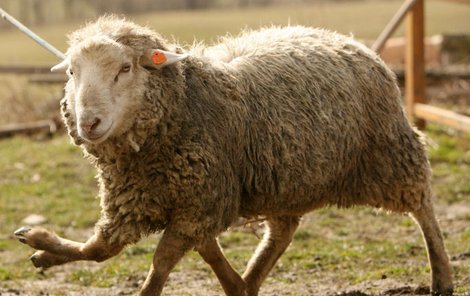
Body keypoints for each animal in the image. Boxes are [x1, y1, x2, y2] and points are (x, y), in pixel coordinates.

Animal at [14, 16, 454, 296]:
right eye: (72, 73)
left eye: (124, 68)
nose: (89, 122)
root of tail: (348, 40)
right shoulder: (149, 200)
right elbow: (101, 249)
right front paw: (42, 247)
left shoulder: (200, 202)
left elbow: (160, 262)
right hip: (284, 181)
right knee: (282, 233)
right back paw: (251, 280)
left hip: (391, 155)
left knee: (424, 208)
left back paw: (443, 277)